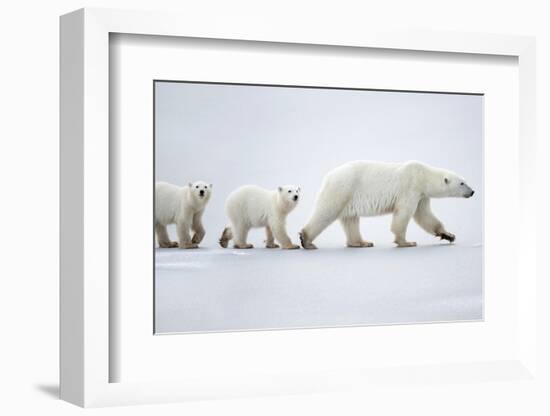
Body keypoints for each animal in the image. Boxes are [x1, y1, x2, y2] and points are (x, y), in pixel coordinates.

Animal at [300, 161, 476, 249]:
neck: (423, 175)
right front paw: (406, 242)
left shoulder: (421, 196)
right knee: (326, 212)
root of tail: (328, 176)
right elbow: (403, 215)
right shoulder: (410, 187)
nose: (473, 191)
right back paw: (306, 240)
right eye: (462, 183)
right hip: (342, 189)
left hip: (348, 197)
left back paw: (362, 242)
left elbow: (425, 216)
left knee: (351, 220)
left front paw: (449, 235)